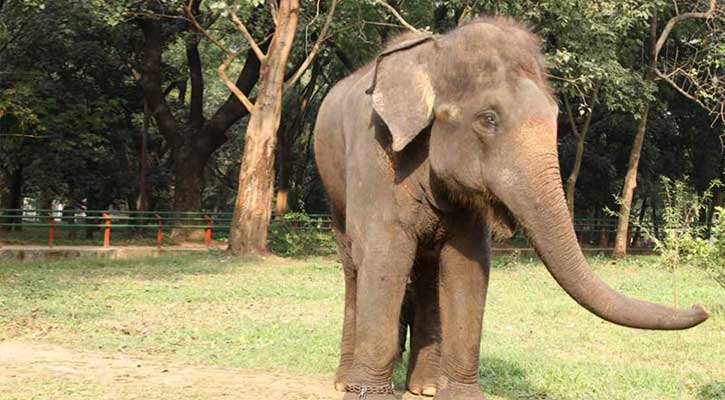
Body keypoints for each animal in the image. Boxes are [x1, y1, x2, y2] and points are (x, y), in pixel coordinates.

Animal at [312, 17, 708, 400]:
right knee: (354, 269)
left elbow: (468, 264)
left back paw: (424, 387)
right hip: (335, 194)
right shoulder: (375, 159)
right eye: (488, 119)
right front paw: (369, 394)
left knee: (426, 269)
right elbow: (385, 256)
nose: (701, 307)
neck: (437, 51)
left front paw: (461, 396)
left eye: (554, 116)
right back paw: (344, 381)